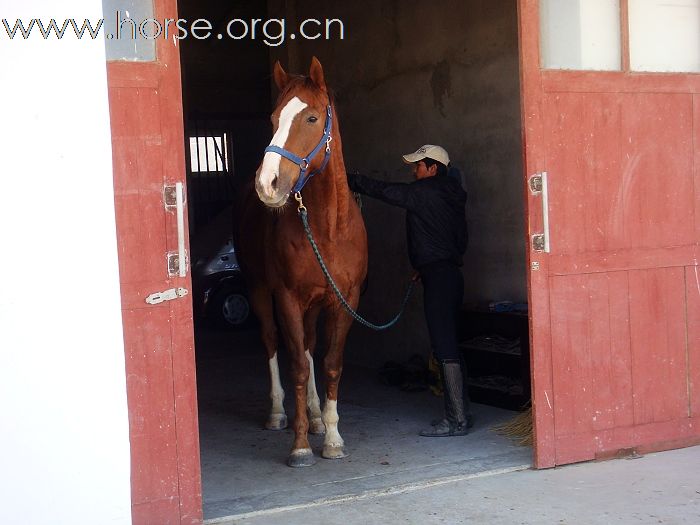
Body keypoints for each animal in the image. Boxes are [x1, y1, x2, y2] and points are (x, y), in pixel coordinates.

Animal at [235, 57, 366, 466]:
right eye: (273, 117)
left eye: (311, 118)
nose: (268, 183)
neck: (326, 229)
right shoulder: (288, 298)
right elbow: (295, 365)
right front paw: (301, 444)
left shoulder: (344, 301)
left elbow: (329, 363)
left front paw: (333, 436)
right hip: (259, 291)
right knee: (273, 342)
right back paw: (280, 413)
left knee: (308, 345)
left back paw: (314, 415)